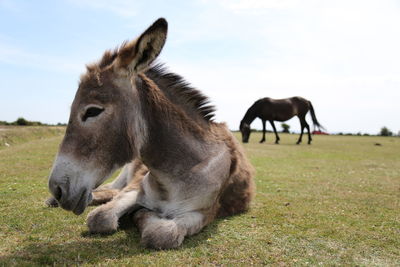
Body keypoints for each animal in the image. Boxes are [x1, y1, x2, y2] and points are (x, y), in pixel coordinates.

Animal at [47, 17, 253, 250]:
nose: (56, 189)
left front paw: (142, 217)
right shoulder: (136, 188)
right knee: (111, 190)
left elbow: (161, 233)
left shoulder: (205, 212)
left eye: (92, 111)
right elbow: (101, 218)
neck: (180, 170)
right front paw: (135, 214)